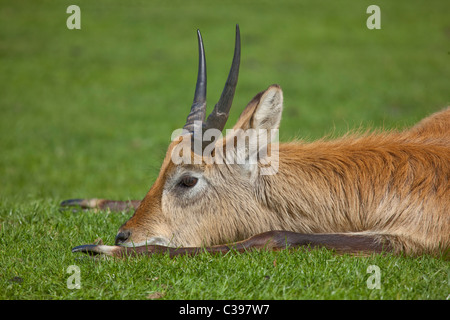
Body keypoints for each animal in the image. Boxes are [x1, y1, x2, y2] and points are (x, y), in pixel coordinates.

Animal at [65, 26, 448, 258]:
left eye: (188, 179)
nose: (123, 236)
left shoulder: (407, 240)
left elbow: (274, 235)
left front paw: (102, 250)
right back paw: (81, 201)